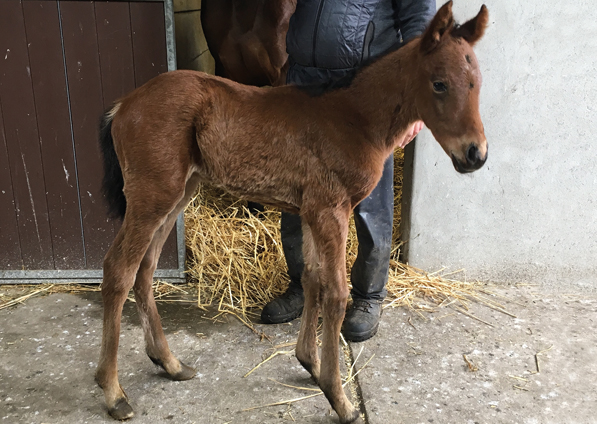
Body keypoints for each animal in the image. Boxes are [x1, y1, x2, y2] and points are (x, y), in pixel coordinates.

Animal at [96, 2, 488, 420]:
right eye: (439, 83)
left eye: (477, 83)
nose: (475, 154)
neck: (354, 118)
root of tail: (124, 104)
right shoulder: (331, 211)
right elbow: (335, 293)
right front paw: (340, 398)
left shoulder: (313, 211)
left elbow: (313, 279)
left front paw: (310, 364)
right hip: (152, 195)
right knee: (119, 270)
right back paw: (113, 392)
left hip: (178, 194)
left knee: (146, 269)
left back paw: (168, 363)